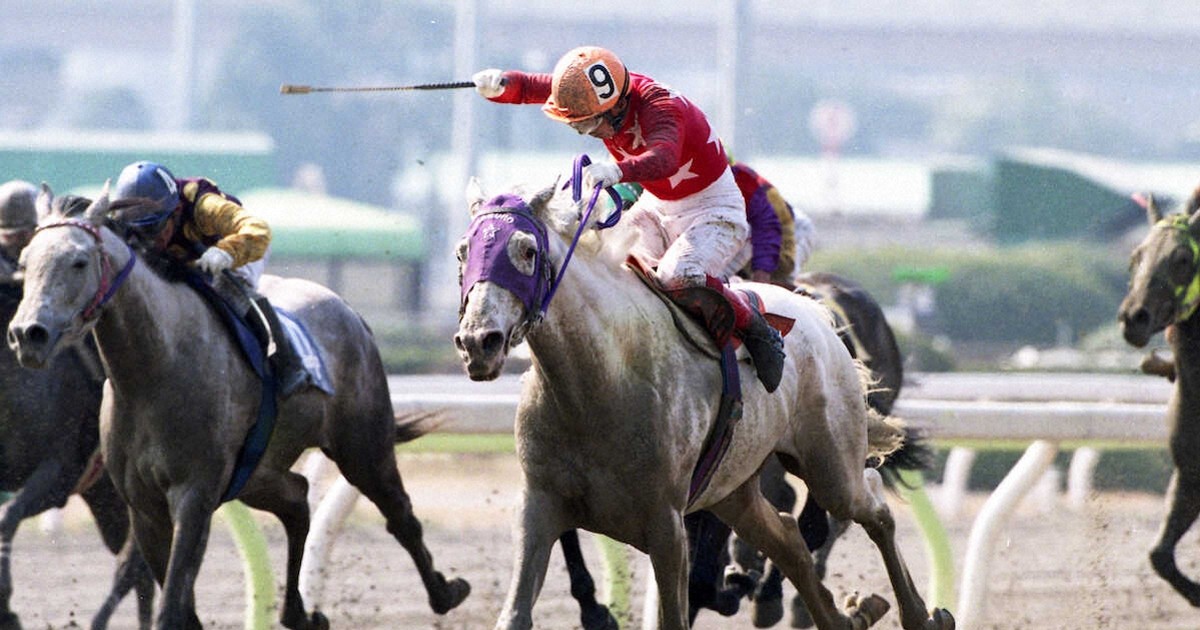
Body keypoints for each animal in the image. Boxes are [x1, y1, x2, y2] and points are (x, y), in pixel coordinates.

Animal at [453, 178, 954, 630]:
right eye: (463, 252)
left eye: (526, 251)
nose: (479, 341)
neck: (597, 381)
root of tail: (820, 317)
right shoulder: (540, 506)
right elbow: (516, 613)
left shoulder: (667, 524)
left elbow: (678, 610)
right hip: (733, 489)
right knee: (790, 538)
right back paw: (844, 616)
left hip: (831, 465)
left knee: (870, 507)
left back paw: (923, 616)